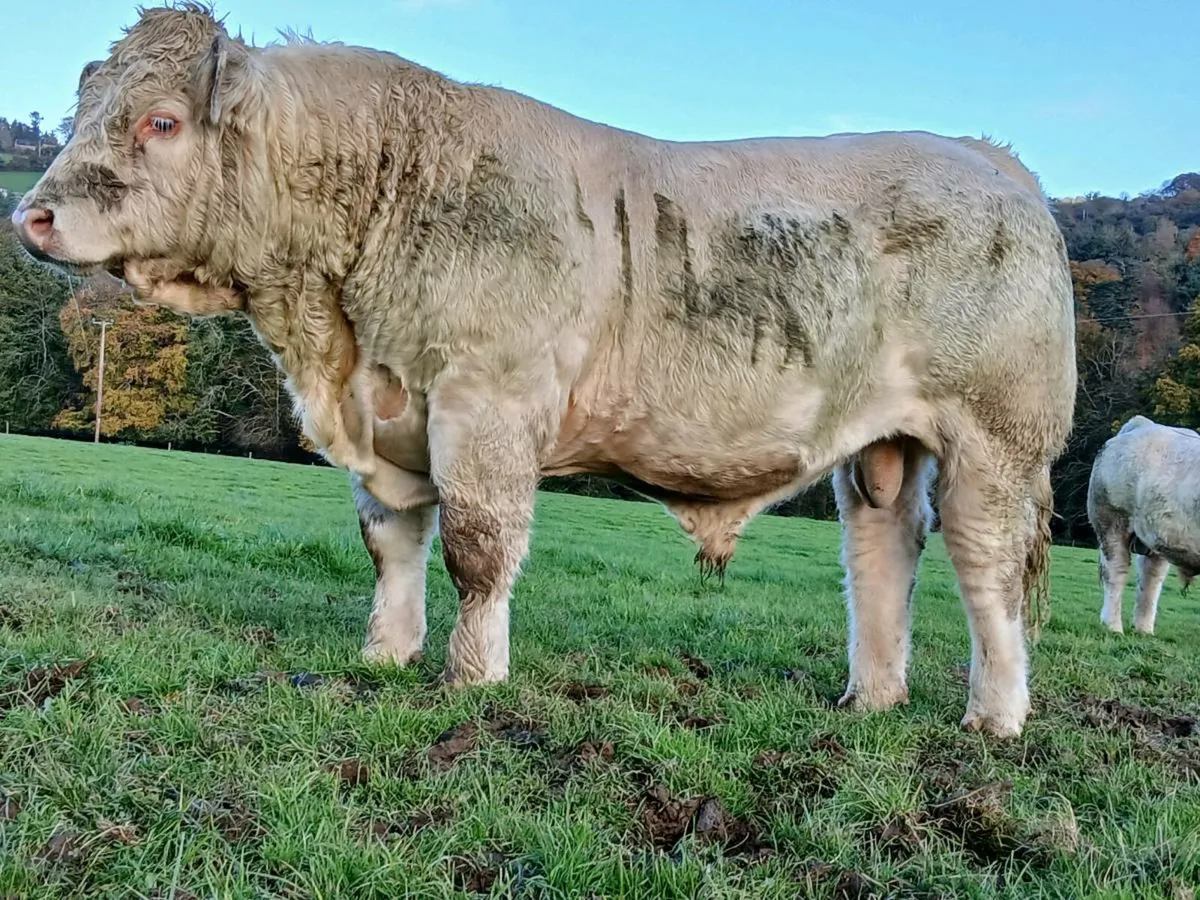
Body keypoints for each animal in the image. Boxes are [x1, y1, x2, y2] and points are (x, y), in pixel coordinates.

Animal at [11, 3, 1076, 737]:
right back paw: (870, 700)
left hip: (995, 439)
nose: (32, 215)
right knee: (883, 552)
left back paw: (994, 719)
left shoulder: (484, 404)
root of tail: (989, 158)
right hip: (882, 445)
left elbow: (477, 550)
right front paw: (386, 656)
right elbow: (391, 544)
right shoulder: (390, 412)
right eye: (85, 108)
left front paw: (470, 676)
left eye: (158, 122)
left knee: (984, 568)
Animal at [1088, 414, 1200, 635]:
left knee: (1150, 578)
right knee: (1116, 572)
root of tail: (1143, 424)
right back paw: (1113, 627)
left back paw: (1144, 631)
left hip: (1156, 536)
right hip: (1111, 521)